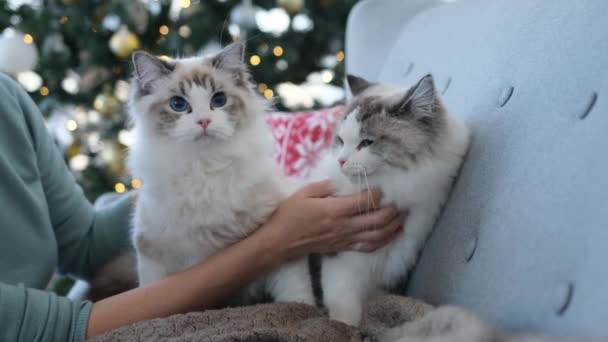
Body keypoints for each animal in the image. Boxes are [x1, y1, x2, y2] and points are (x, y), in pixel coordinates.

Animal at [126, 42, 316, 304]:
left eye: (219, 100)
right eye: (178, 104)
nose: (204, 121)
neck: (204, 167)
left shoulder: (283, 245)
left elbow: (297, 296)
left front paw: (308, 310)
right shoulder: (151, 251)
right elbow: (152, 292)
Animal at [308, 73, 470, 324]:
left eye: (367, 142)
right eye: (341, 141)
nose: (341, 161)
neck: (392, 188)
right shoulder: (342, 262)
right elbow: (344, 307)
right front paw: (345, 326)